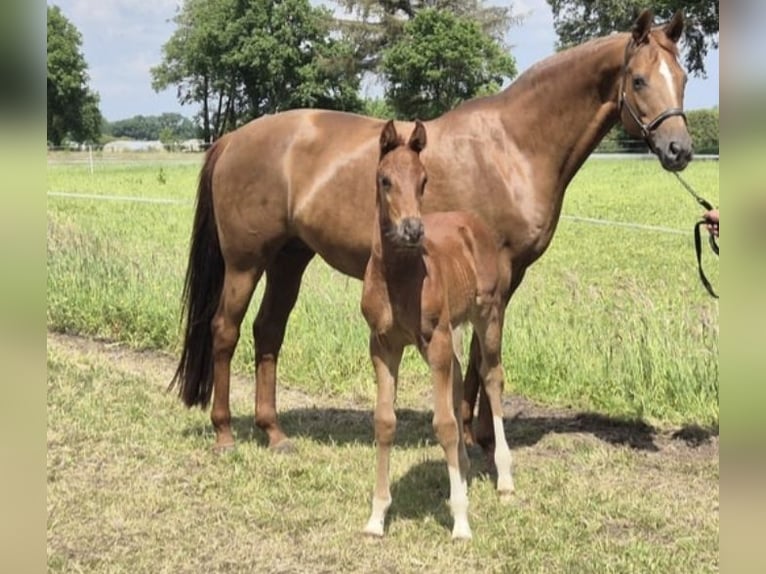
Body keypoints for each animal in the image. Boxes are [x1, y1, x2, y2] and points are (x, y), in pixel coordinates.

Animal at [364, 120, 516, 540]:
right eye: (384, 179)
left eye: (423, 180)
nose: (412, 230)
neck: (399, 278)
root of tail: (472, 221)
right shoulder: (383, 346)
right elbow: (385, 421)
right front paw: (376, 516)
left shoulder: (436, 342)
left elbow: (445, 424)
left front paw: (460, 520)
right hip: (453, 331)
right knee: (463, 376)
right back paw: (462, 471)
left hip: (488, 315)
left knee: (491, 376)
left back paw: (505, 479)